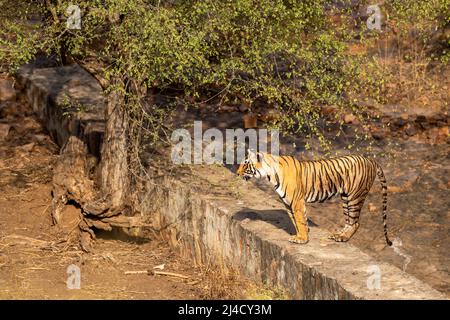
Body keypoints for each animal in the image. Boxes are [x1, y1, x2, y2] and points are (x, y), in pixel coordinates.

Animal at [237, 151, 392, 246]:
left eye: (245, 164)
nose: (237, 173)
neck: (270, 174)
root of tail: (370, 160)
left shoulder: (297, 202)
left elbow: (299, 220)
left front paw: (302, 239)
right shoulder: (287, 203)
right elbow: (296, 220)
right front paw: (301, 235)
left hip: (355, 196)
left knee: (355, 222)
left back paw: (343, 238)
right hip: (346, 198)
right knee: (349, 221)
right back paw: (338, 234)